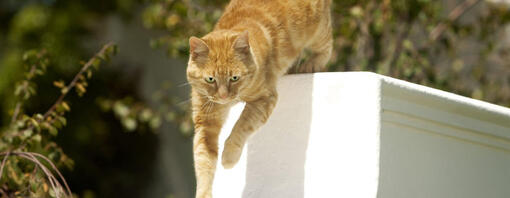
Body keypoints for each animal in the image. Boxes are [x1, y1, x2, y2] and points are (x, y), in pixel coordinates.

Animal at [187, 0, 334, 196]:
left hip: (318, 31)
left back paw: (312, 64)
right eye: (210, 79)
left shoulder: (264, 99)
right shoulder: (205, 123)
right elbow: (203, 160)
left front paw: (229, 157)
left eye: (234, 78)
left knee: (327, 45)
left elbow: (241, 126)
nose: (224, 95)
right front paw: (203, 193)